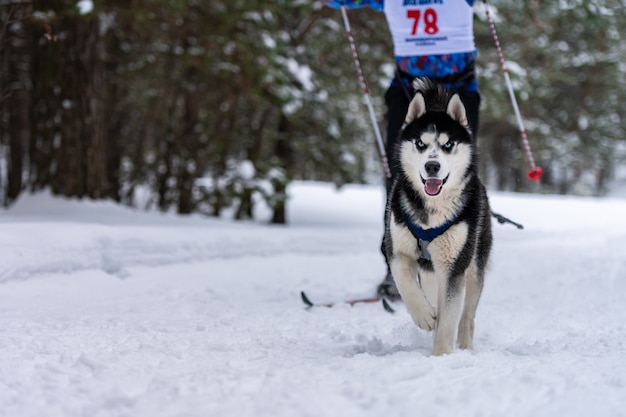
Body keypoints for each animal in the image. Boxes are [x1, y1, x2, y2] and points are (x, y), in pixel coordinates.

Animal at [382, 78, 490, 354]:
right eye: (420, 143)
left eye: (448, 144)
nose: (432, 166)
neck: (431, 210)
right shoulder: (397, 250)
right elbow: (405, 285)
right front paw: (424, 316)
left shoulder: (454, 266)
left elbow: (449, 319)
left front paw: (442, 355)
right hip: (431, 272)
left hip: (473, 267)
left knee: (467, 316)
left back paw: (465, 347)